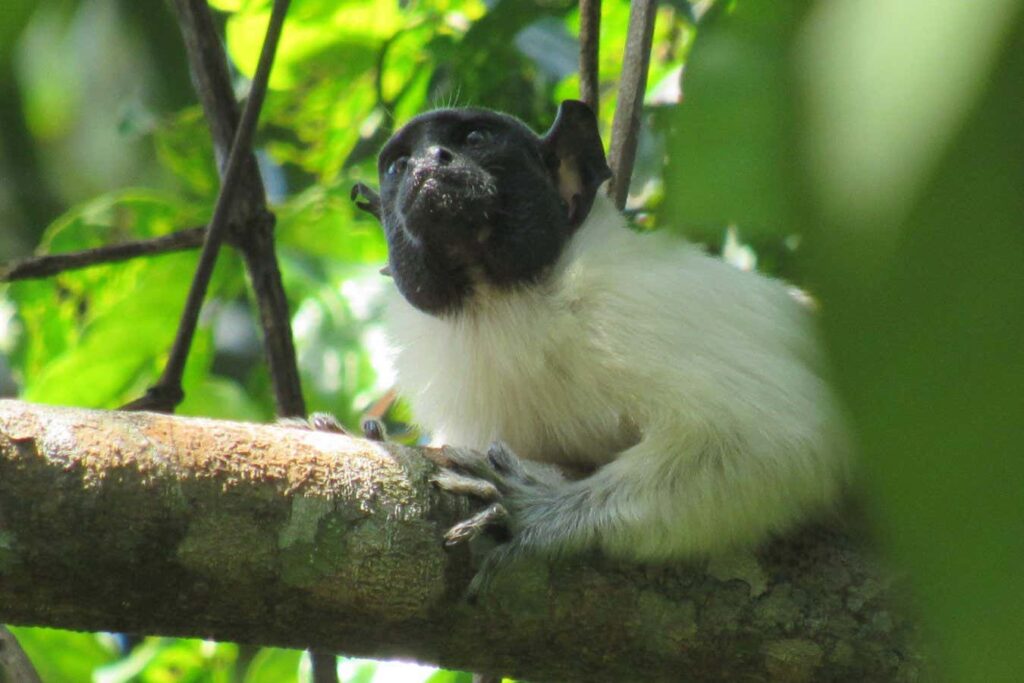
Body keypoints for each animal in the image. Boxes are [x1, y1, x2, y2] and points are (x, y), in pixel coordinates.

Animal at [360, 98, 847, 593]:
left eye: (474, 139)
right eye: (399, 166)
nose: (429, 162)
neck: (505, 308)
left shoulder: (635, 308)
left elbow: (779, 437)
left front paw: (538, 515)